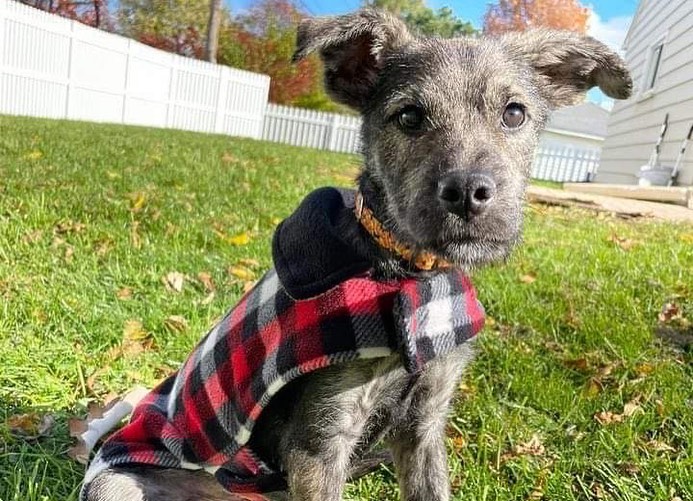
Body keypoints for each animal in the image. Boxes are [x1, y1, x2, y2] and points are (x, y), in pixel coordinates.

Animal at [81, 7, 632, 500]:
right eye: (409, 116)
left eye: (514, 113)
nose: (468, 193)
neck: (409, 273)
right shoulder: (323, 437)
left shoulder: (425, 422)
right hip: (116, 484)